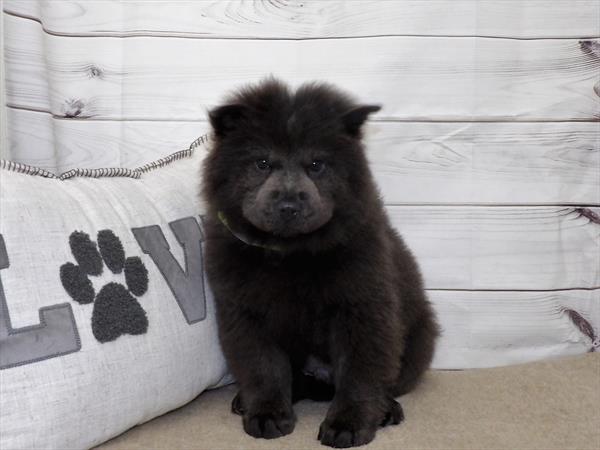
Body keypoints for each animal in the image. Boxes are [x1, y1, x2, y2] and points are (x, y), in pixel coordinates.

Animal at [203, 79, 440, 448]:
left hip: (419, 339)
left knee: (384, 382)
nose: (288, 205)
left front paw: (348, 425)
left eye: (316, 165)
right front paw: (267, 414)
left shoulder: (361, 309)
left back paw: (387, 410)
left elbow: (359, 373)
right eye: (261, 163)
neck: (291, 254)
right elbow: (264, 367)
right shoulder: (245, 313)